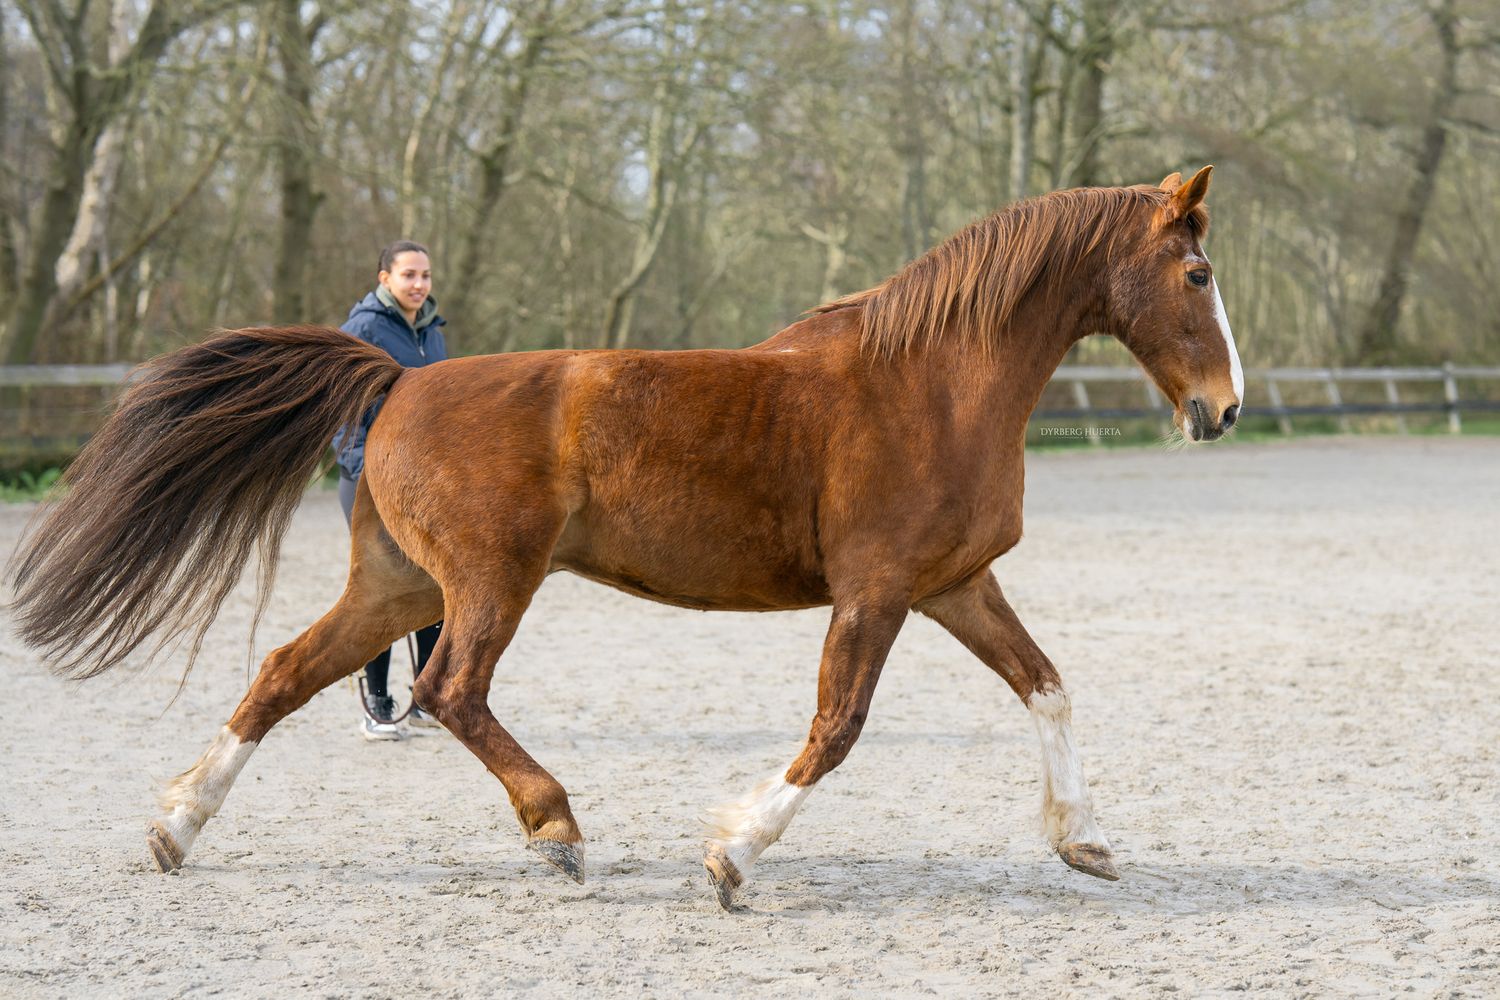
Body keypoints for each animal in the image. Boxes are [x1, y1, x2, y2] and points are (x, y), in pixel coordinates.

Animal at [8, 166, 1242, 909]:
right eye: (1197, 273)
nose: (1223, 411)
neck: (933, 383)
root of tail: (399, 384)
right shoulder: (879, 590)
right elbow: (838, 727)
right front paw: (734, 854)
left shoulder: (956, 584)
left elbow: (1048, 686)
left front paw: (1083, 840)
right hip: (488, 581)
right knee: (449, 690)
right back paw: (555, 828)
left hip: (398, 585)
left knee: (285, 672)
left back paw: (177, 827)